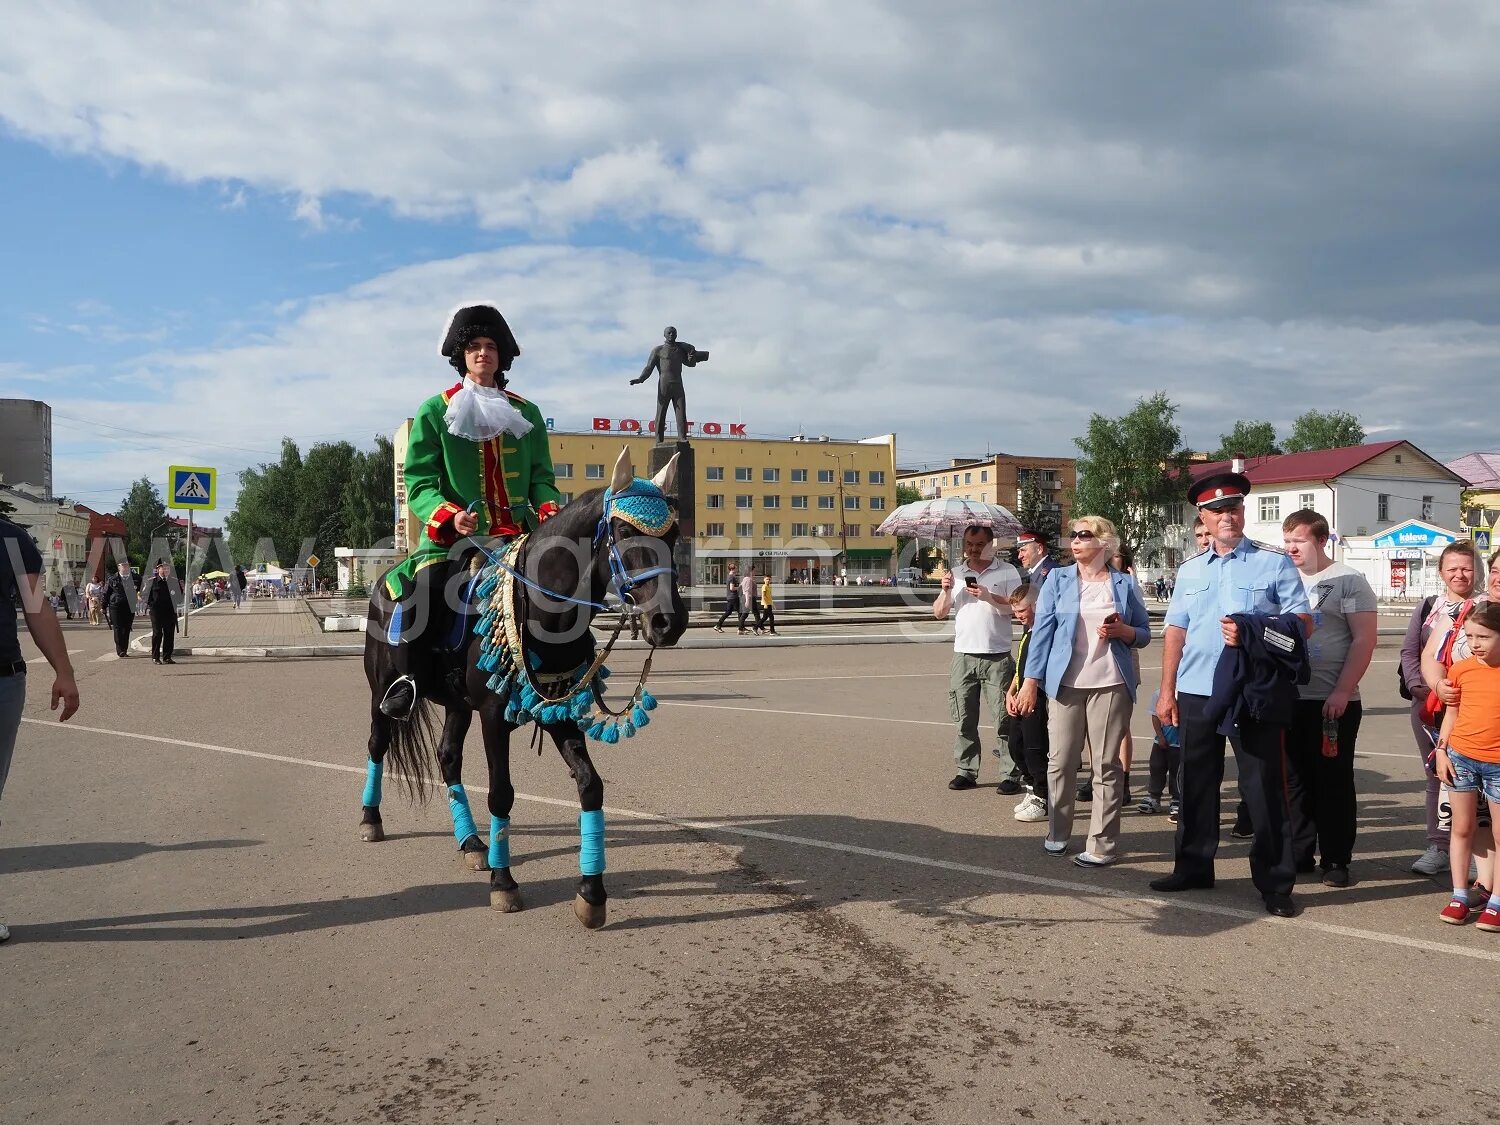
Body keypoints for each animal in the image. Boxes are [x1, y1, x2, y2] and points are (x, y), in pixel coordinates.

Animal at [360, 450, 687, 936]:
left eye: (675, 535)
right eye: (626, 532)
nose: (671, 622)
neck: (542, 609)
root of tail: (383, 583)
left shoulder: (557, 710)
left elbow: (591, 786)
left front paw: (591, 894)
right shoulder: (494, 716)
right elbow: (502, 793)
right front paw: (504, 883)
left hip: (457, 706)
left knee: (448, 757)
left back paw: (471, 842)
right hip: (382, 692)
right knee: (378, 744)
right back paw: (371, 819)